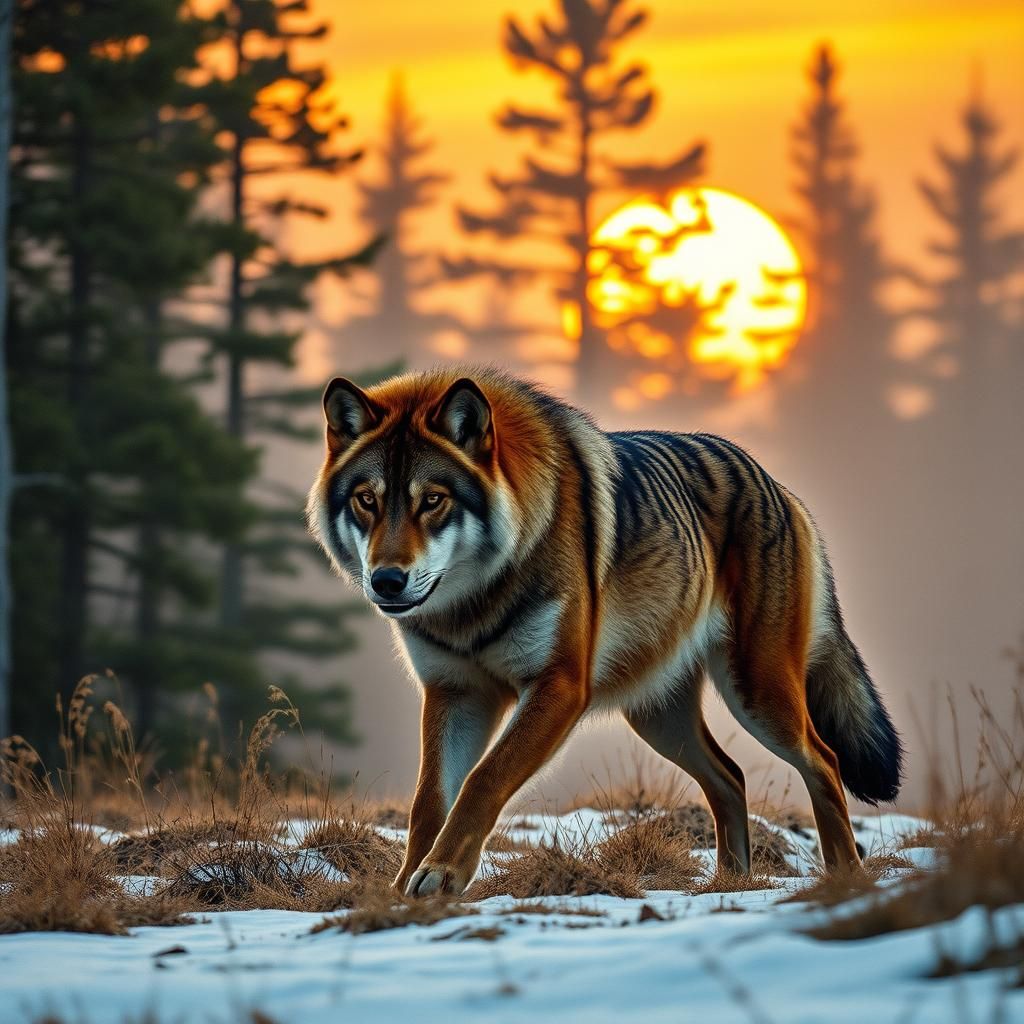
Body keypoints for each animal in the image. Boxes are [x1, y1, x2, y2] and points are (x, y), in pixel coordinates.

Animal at [306, 366, 903, 896]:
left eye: (432, 500)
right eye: (367, 500)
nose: (386, 580)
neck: (472, 604)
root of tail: (781, 489)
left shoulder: (558, 687)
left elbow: (482, 781)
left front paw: (441, 876)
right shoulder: (455, 692)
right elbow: (429, 801)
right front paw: (402, 888)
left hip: (758, 696)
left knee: (823, 760)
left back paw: (844, 878)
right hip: (658, 717)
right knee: (731, 776)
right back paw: (729, 884)